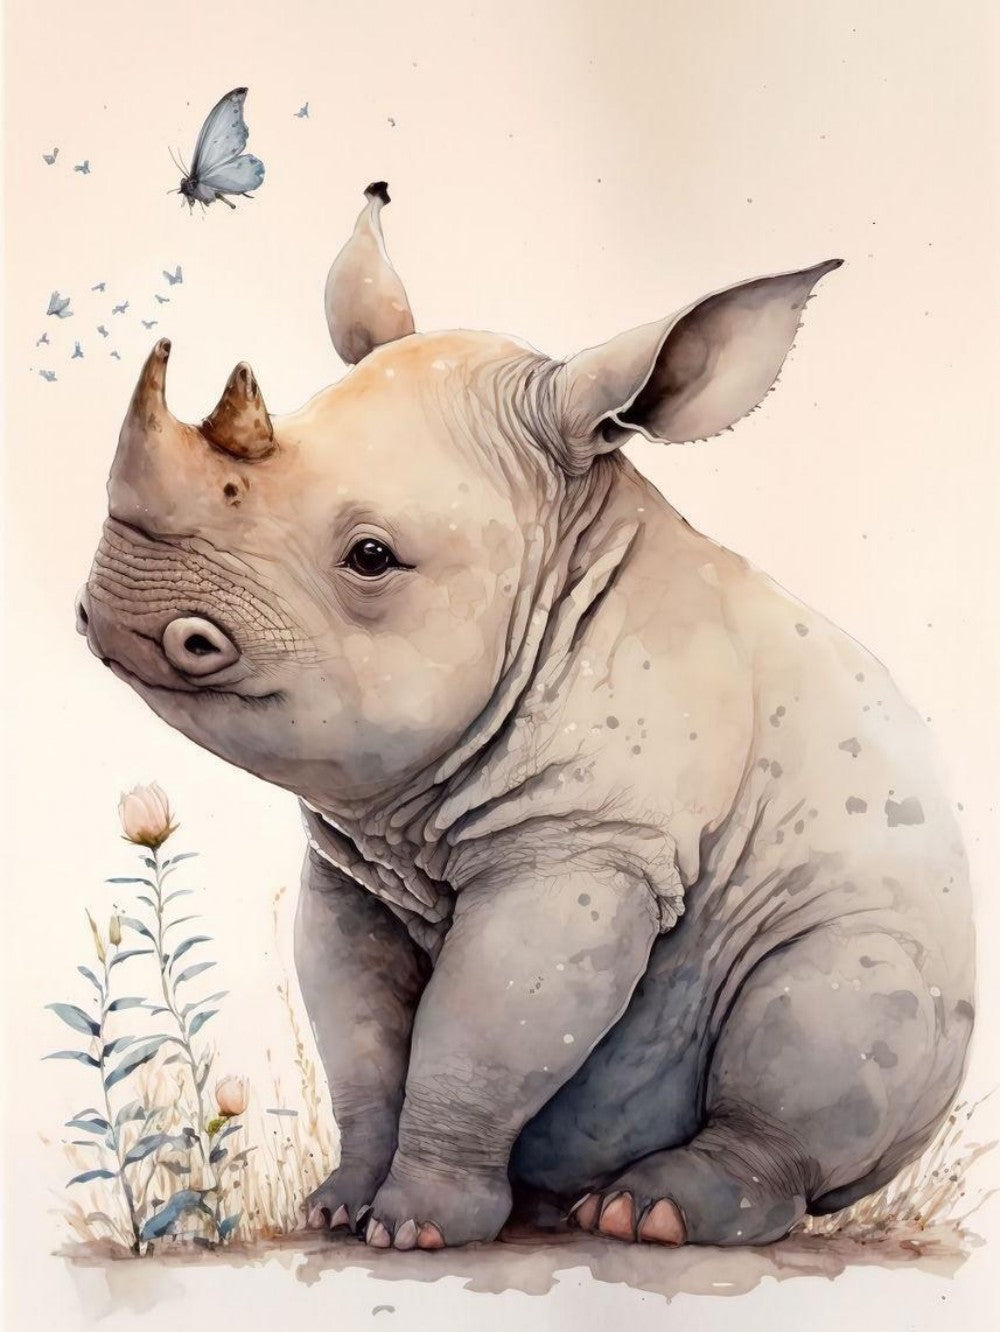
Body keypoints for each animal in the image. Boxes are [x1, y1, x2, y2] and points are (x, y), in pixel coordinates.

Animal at [77, 185, 974, 1252]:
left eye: (371, 557)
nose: (117, 611)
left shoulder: (587, 843)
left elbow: (478, 1036)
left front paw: (418, 1231)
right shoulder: (353, 865)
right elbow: (365, 1038)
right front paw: (338, 1212)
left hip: (887, 937)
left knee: (825, 1012)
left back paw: (644, 1216)